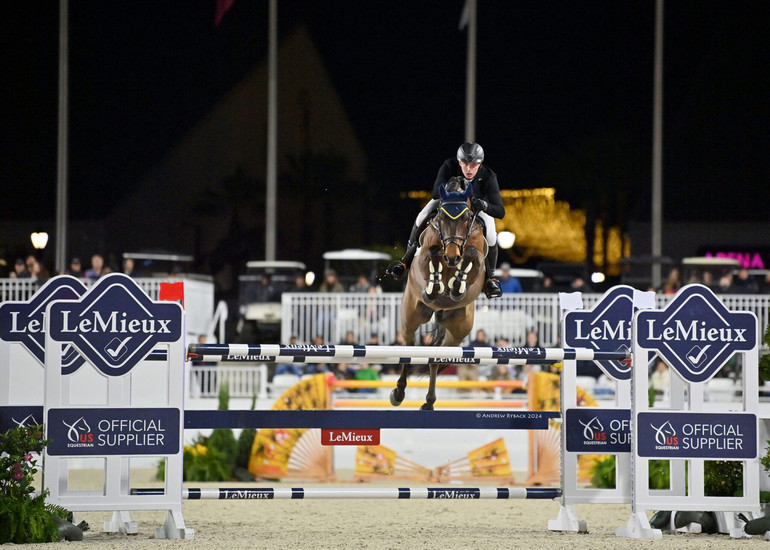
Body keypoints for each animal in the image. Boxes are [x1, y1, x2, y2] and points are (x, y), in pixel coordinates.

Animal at [390, 177, 486, 410]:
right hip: (411, 315)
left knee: (436, 357)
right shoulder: (426, 252)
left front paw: (457, 286)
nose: (452, 257)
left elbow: (472, 254)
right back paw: (398, 392)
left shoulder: (477, 258)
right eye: (442, 217)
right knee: (409, 346)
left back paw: (429, 402)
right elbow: (432, 252)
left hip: (457, 331)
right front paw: (435, 287)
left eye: (466, 218)